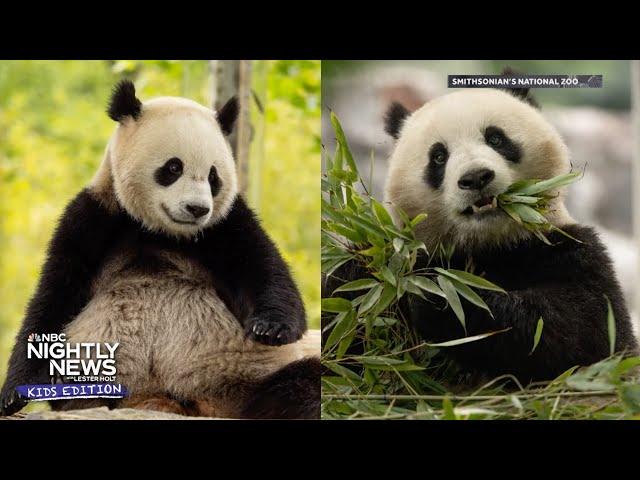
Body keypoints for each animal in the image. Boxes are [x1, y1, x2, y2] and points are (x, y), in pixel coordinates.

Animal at [0, 80, 320, 418]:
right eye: (173, 167)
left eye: (213, 176)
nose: (197, 209)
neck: (160, 232)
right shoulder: (94, 217)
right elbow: (55, 298)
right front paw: (14, 394)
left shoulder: (224, 225)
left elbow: (263, 270)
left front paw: (271, 327)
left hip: (243, 380)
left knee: (302, 382)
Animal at [328, 77, 636, 384]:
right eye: (438, 156)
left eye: (496, 138)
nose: (476, 178)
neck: (489, 244)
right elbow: (345, 321)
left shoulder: (567, 248)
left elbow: (586, 328)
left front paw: (443, 298)